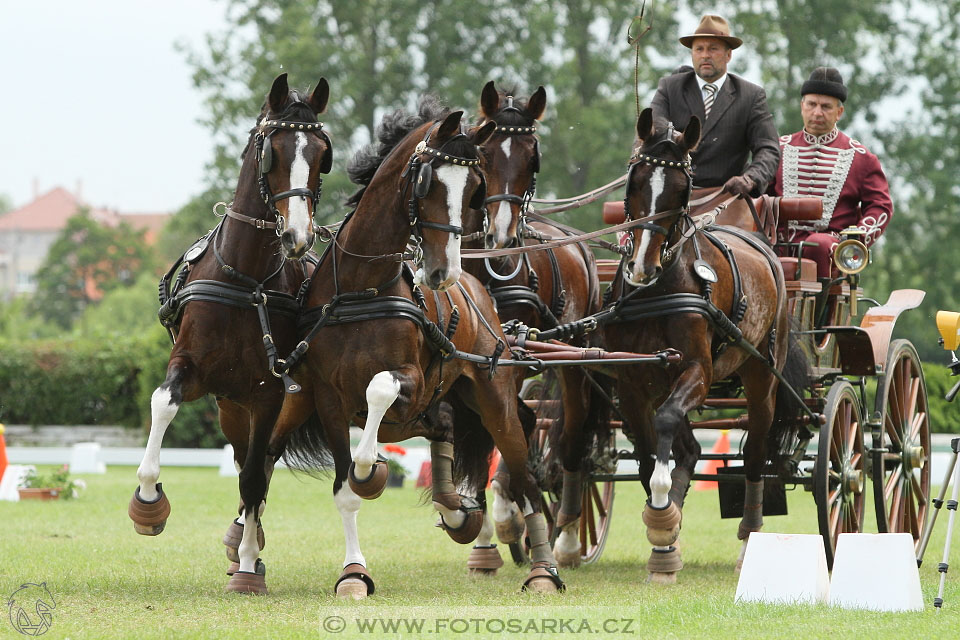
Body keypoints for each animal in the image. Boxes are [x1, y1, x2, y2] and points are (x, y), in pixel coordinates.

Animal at [127, 75, 332, 596]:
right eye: (272, 151)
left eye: (323, 154)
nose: (297, 236)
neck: (248, 281)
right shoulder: (191, 369)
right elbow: (163, 402)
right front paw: (148, 503)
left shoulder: (268, 394)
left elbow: (256, 479)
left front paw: (247, 565)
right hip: (230, 408)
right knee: (244, 460)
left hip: (276, 405)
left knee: (261, 464)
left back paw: (247, 545)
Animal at [266, 97, 568, 596]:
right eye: (427, 181)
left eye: (473, 188)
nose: (442, 272)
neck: (361, 288)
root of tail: (479, 289)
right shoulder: (327, 398)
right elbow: (346, 489)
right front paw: (353, 574)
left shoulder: (413, 381)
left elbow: (378, 393)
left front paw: (373, 471)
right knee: (448, 434)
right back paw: (459, 513)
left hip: (494, 400)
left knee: (524, 474)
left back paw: (545, 570)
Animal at [460, 80, 600, 564]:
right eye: (482, 154)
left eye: (533, 158)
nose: (502, 240)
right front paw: (489, 520)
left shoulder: (511, 353)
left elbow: (509, 426)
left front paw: (509, 512)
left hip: (573, 356)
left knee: (573, 432)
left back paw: (567, 535)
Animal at [580, 109, 808, 580]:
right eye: (633, 181)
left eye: (681, 189)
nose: (641, 267)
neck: (659, 289)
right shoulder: (633, 381)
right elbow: (648, 453)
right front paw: (664, 535)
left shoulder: (697, 373)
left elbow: (665, 427)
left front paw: (663, 512)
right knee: (688, 448)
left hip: (761, 378)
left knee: (755, 452)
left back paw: (749, 538)